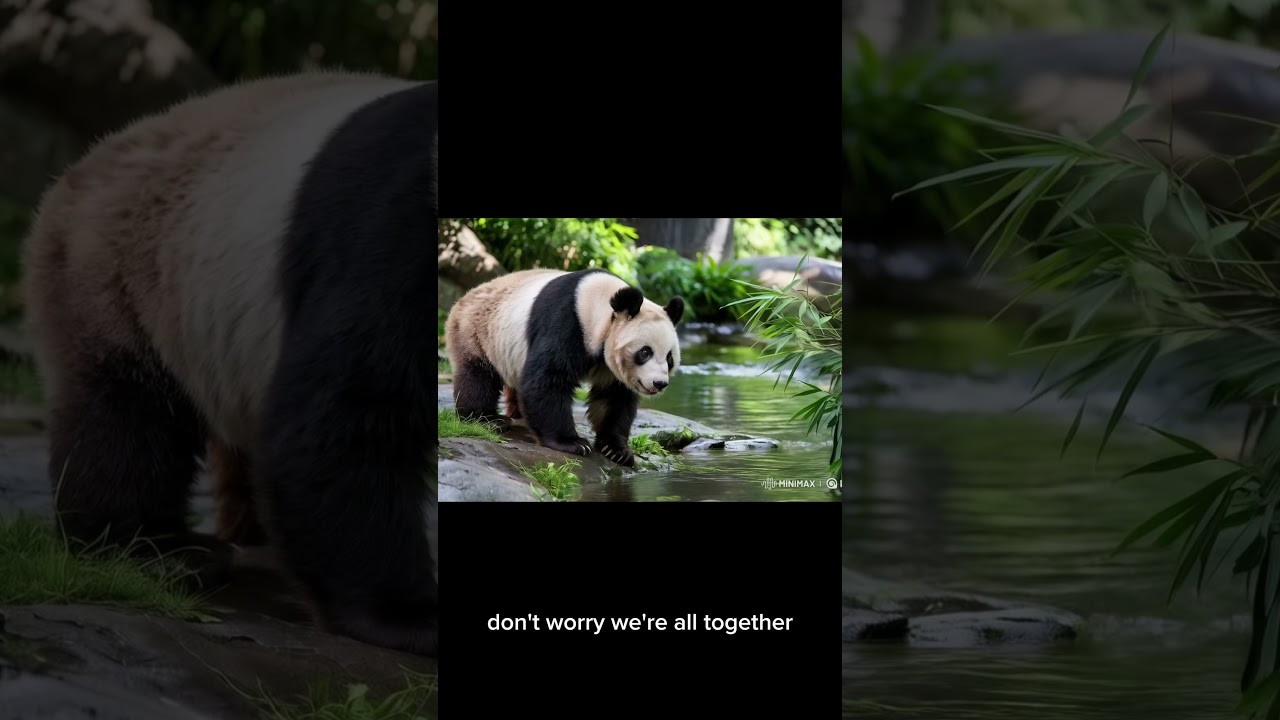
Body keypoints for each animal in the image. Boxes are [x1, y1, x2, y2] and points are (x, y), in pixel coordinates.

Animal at [22, 72, 438, 657]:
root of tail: (88, 159)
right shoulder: (394, 221)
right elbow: (353, 413)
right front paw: (407, 618)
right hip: (120, 275)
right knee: (124, 419)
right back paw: (158, 552)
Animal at [445, 268, 684, 467]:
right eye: (645, 352)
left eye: (669, 357)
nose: (659, 383)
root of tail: (464, 297)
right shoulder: (567, 323)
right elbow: (547, 379)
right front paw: (572, 443)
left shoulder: (609, 366)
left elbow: (614, 397)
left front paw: (616, 450)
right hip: (478, 330)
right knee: (477, 376)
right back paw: (488, 419)